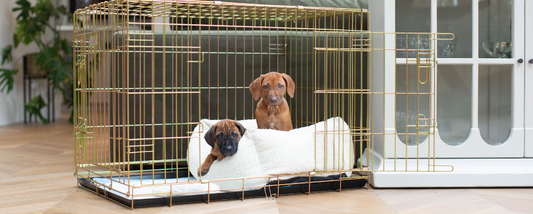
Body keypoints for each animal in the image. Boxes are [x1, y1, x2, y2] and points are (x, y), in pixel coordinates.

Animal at [187, 117, 354, 191]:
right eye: (219, 136)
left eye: (234, 135)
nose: (228, 148)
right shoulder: (214, 150)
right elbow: (209, 156)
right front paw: (202, 167)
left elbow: (218, 157)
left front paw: (221, 157)